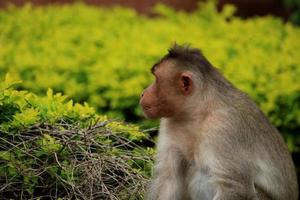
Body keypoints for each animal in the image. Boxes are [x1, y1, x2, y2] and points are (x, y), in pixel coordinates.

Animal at [140, 44, 298, 200]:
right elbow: (168, 178)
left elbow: (235, 187)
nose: (142, 93)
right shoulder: (170, 121)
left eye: (156, 79)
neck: (196, 111)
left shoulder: (224, 126)